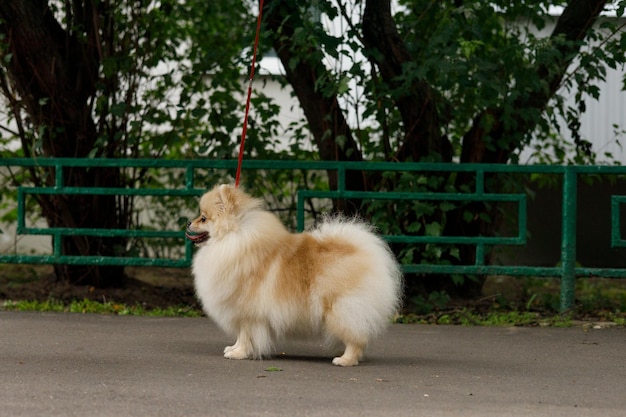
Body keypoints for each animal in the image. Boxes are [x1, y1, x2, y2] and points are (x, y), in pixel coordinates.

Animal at [185, 184, 400, 366]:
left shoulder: (247, 311)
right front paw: (234, 348)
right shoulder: (240, 311)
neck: (232, 239)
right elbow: (240, 335)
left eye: (203, 218)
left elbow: (246, 334)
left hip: (341, 308)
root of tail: (363, 250)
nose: (188, 222)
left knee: (355, 338)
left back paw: (345, 360)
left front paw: (240, 353)